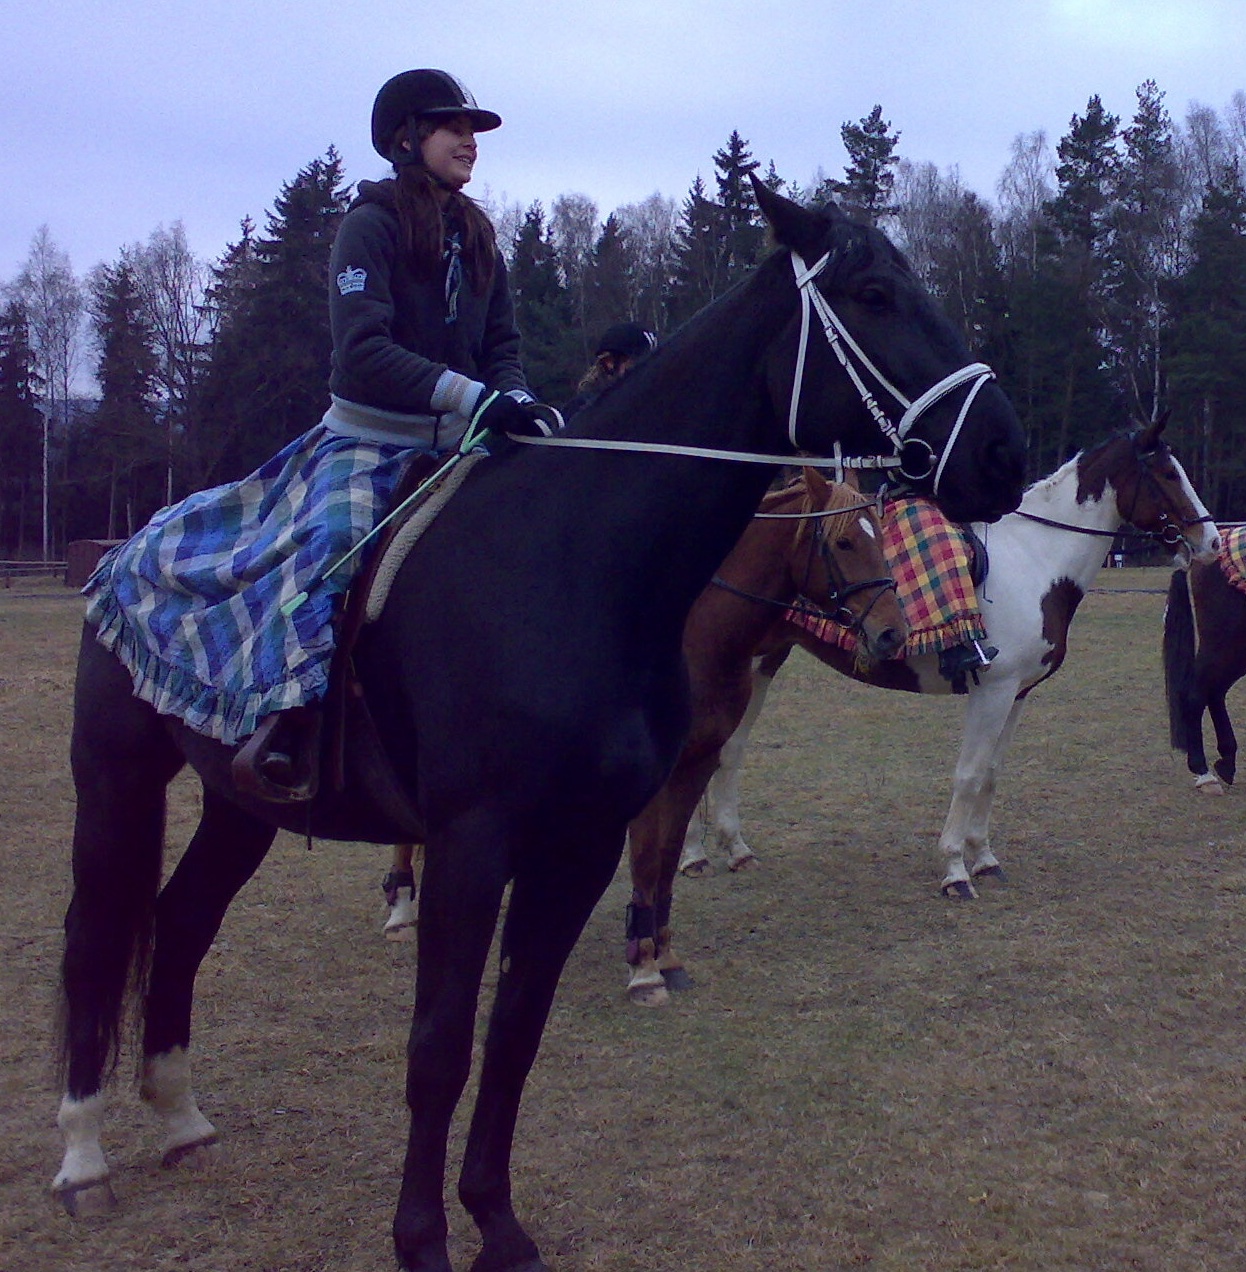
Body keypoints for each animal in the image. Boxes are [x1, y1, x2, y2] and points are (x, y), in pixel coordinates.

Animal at [624, 468, 907, 1006]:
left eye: (880, 536)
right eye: (843, 542)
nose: (892, 634)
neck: (696, 637)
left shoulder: (697, 763)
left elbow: (667, 859)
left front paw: (665, 957)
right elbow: (647, 861)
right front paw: (644, 970)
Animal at [673, 417, 1218, 911]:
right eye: (1168, 473)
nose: (1211, 542)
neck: (1036, 560)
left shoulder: (1017, 694)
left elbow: (992, 772)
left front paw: (985, 858)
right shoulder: (991, 690)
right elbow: (969, 774)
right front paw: (956, 870)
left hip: (761, 662)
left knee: (728, 750)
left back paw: (735, 849)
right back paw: (694, 855)